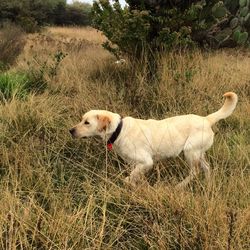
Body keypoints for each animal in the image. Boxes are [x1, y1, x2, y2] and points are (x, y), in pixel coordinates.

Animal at [70, 92, 238, 188]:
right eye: (81, 120)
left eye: (87, 123)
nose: (70, 131)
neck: (119, 129)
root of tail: (206, 119)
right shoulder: (136, 164)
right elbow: (136, 176)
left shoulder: (146, 162)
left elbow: (129, 178)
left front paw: (129, 184)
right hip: (199, 154)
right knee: (207, 168)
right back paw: (208, 185)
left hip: (190, 152)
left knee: (195, 172)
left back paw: (179, 186)